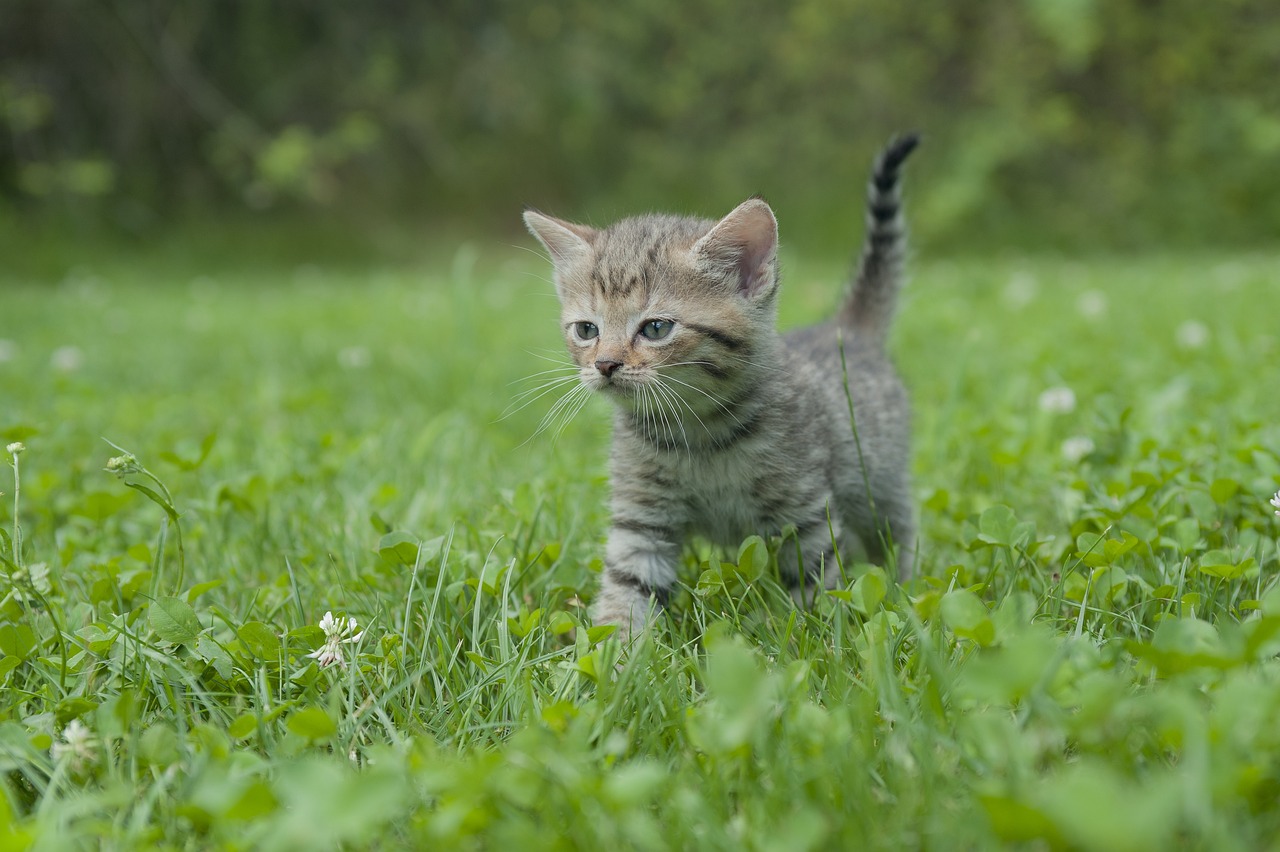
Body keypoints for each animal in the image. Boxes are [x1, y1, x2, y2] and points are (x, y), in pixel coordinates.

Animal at [522, 134, 921, 637]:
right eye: (587, 330)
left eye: (656, 328)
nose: (605, 364)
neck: (698, 432)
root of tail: (842, 328)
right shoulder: (642, 518)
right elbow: (627, 588)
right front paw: (615, 652)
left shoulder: (805, 513)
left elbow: (817, 587)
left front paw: (817, 638)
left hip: (879, 484)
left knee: (900, 529)